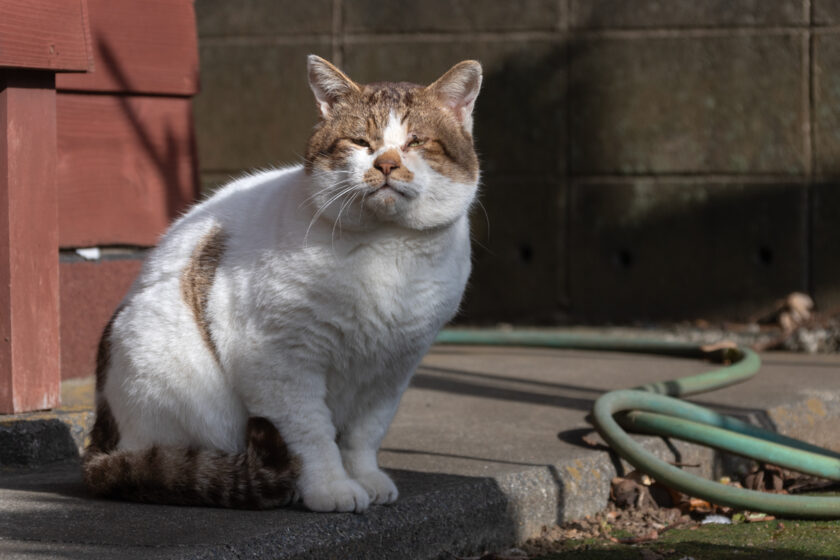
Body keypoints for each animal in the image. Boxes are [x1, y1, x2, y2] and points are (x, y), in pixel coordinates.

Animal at [83, 55, 486, 512]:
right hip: (159, 360)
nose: (385, 164)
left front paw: (367, 478)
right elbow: (311, 435)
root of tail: (99, 436)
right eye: (360, 142)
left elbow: (366, 433)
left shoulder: (392, 369)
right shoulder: (280, 363)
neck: (387, 251)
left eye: (416, 142)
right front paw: (332, 488)